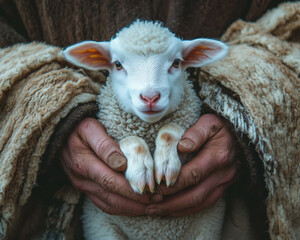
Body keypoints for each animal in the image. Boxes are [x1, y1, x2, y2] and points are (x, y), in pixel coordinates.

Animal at [62, 20, 227, 240]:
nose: (150, 97)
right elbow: (131, 140)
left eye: (176, 62)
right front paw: (142, 170)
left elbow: (171, 128)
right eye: (117, 64)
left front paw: (165, 164)